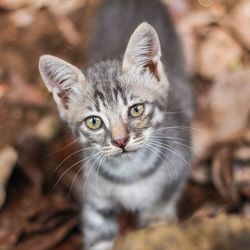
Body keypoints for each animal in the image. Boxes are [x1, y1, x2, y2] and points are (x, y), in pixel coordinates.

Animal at [38, 0, 193, 250]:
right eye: (94, 122)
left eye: (136, 110)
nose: (120, 141)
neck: (130, 172)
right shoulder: (96, 202)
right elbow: (98, 237)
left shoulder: (179, 164)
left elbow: (162, 201)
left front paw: (156, 218)